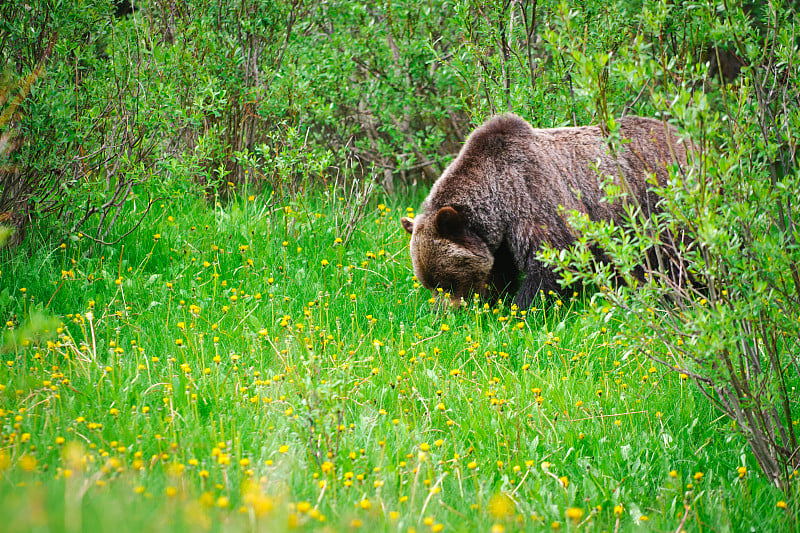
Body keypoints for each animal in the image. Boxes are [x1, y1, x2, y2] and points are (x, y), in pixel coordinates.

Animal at [404, 114, 692, 310]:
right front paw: (495, 300)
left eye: (447, 280)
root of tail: (686, 138)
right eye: (429, 283)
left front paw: (521, 309)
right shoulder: (498, 239)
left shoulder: (533, 196)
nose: (447, 312)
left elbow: (549, 261)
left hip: (658, 202)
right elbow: (499, 269)